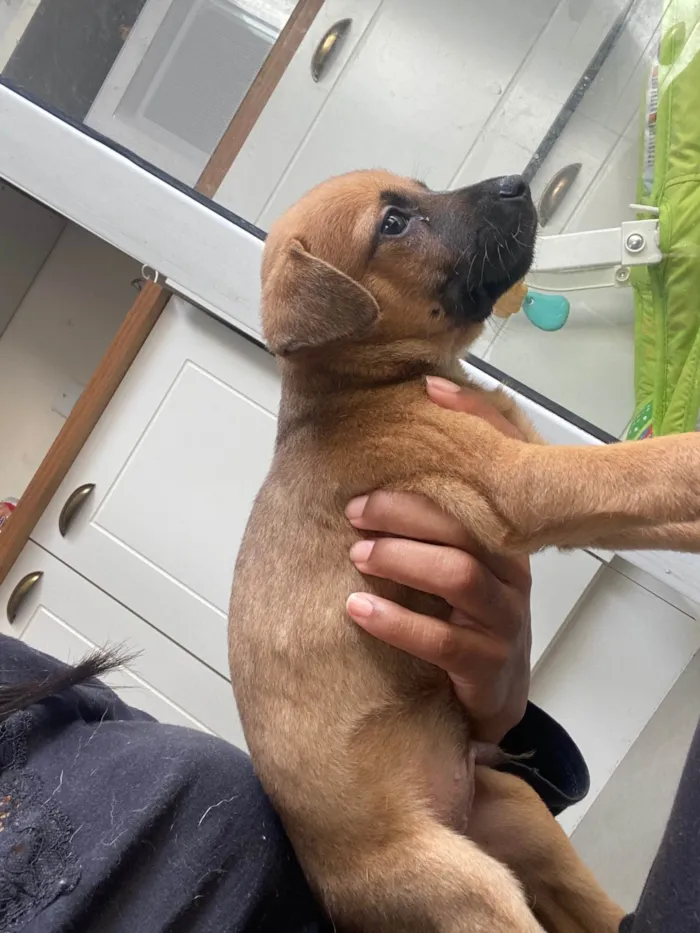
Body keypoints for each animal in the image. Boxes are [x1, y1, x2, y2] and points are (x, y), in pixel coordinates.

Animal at [228, 169, 700, 932]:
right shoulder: (527, 484)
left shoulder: (561, 486)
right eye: (393, 223)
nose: (518, 183)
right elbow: (649, 464)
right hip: (467, 883)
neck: (366, 386)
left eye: (420, 187)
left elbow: (651, 498)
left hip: (520, 812)